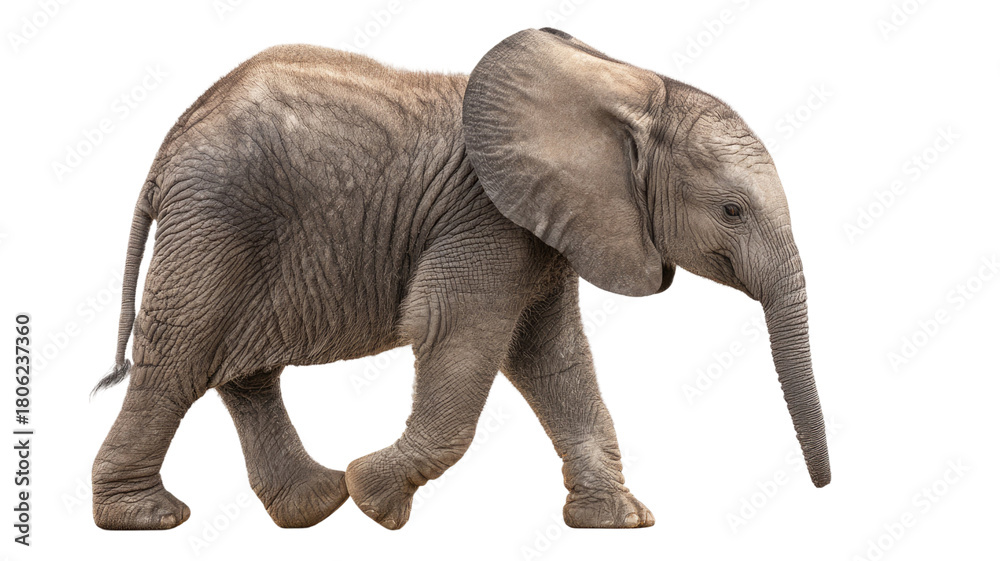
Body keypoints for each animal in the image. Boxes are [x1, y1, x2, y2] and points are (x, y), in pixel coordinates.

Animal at [91, 27, 830, 532]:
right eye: (732, 211)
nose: (823, 490)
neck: (627, 85)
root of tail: (168, 146)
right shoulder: (485, 219)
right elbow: (460, 335)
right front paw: (375, 501)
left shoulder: (546, 228)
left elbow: (553, 356)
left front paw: (621, 521)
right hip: (216, 221)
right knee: (178, 356)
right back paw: (148, 518)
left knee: (241, 370)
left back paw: (314, 505)